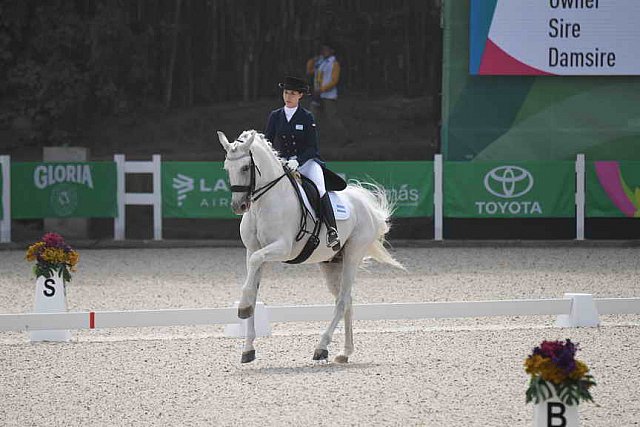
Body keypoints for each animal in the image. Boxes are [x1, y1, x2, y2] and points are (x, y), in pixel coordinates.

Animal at [218, 130, 402, 364]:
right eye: (227, 168)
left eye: (244, 168)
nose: (239, 206)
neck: (263, 204)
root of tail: (367, 205)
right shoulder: (253, 249)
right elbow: (253, 285)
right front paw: (248, 346)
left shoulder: (282, 247)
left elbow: (255, 261)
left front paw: (242, 307)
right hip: (331, 263)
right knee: (347, 300)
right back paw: (344, 352)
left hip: (353, 254)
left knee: (342, 300)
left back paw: (321, 346)